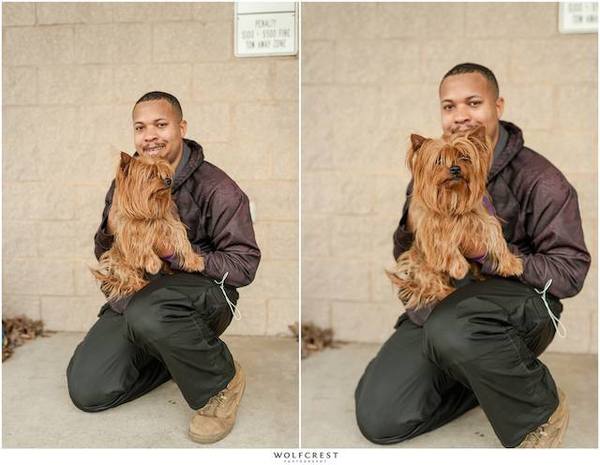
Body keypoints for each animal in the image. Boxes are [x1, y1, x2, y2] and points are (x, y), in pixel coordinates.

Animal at [90, 150, 205, 300]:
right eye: (151, 175)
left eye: (164, 173)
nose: (168, 180)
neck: (149, 210)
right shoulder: (131, 231)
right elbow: (141, 244)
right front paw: (153, 263)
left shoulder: (170, 224)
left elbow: (182, 240)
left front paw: (194, 261)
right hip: (117, 259)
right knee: (130, 278)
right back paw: (141, 284)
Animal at [386, 125, 524, 312]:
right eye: (438, 160)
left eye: (464, 157)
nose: (455, 169)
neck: (453, 197)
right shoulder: (433, 227)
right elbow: (445, 243)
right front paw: (459, 267)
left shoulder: (483, 219)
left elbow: (496, 238)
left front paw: (511, 264)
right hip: (419, 261)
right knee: (431, 283)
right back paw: (447, 291)